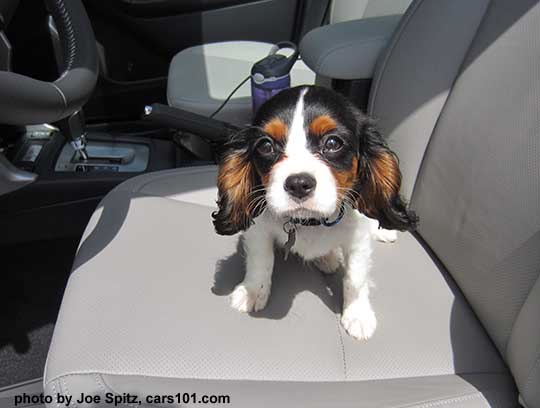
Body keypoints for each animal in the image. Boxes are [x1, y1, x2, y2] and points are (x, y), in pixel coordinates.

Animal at [213, 87, 416, 342]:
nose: (298, 184)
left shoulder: (358, 240)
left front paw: (357, 314)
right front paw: (252, 291)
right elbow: (261, 260)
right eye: (266, 146)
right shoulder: (258, 230)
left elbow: (355, 277)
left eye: (333, 142)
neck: (311, 221)